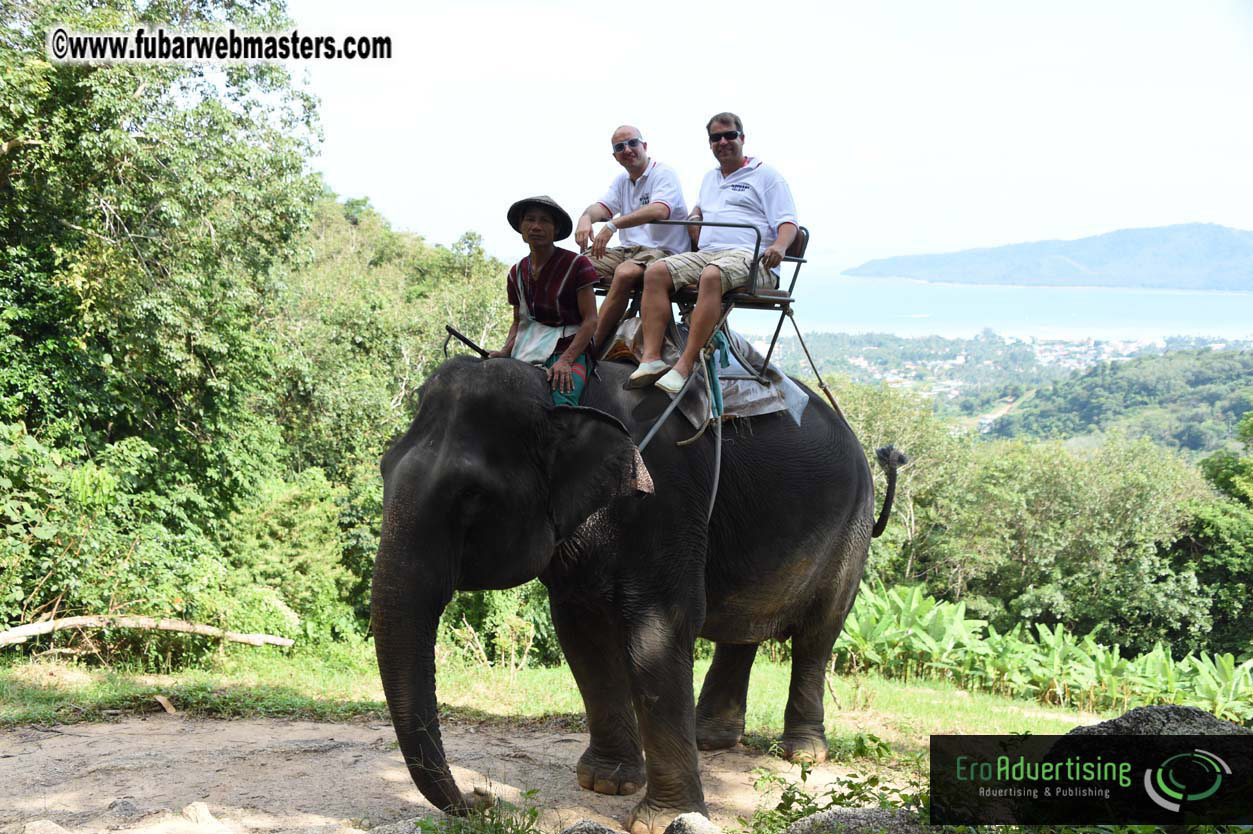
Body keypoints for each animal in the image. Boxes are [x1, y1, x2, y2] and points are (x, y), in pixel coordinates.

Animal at [370, 354, 902, 833]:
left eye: (472, 496)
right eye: (382, 467)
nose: (483, 800)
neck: (561, 393)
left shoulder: (666, 503)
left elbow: (658, 631)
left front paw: (658, 819)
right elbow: (581, 633)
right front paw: (606, 784)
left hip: (851, 531)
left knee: (818, 634)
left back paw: (802, 753)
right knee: (741, 629)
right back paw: (708, 739)